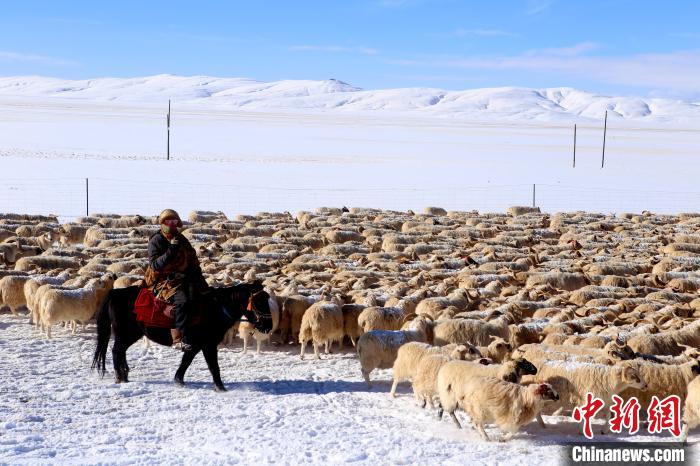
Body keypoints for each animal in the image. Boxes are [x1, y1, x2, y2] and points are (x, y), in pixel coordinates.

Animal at [91, 282, 270, 392]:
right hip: (125, 333)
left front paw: (179, 380)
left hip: (131, 334)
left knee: (120, 351)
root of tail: (115, 293)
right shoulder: (208, 345)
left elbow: (186, 361)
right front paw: (221, 387)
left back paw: (125, 375)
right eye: (258, 302)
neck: (215, 309)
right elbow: (213, 366)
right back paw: (120, 377)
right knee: (116, 351)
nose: (267, 326)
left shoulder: (195, 345)